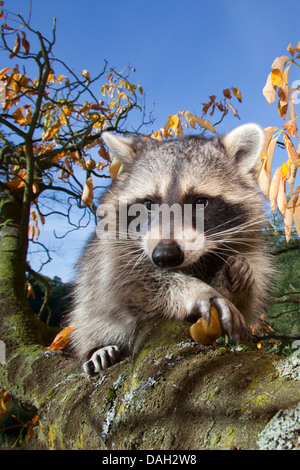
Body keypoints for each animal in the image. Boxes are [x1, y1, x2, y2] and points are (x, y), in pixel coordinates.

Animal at [69, 124, 272, 374]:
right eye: (148, 203)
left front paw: (234, 282)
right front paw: (197, 291)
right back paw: (97, 347)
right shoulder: (112, 252)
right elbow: (128, 283)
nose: (165, 256)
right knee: (90, 311)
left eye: (199, 202)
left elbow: (249, 298)